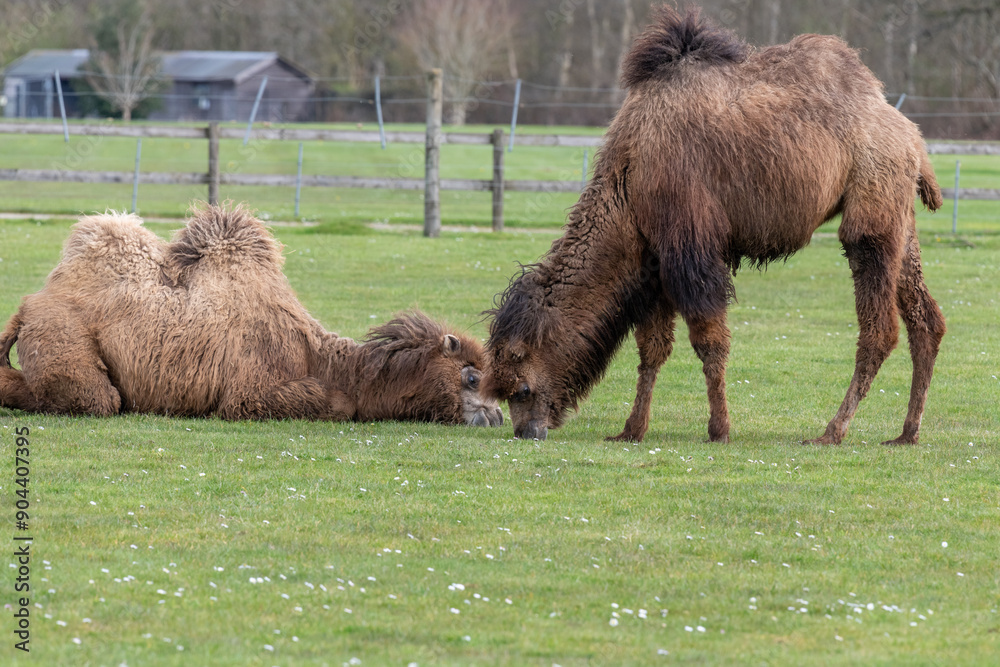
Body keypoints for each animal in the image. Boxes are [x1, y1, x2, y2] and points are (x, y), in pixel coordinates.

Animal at [0, 204, 503, 427]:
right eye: (472, 377)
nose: (498, 417)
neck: (318, 356)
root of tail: (30, 304)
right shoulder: (248, 393)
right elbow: (339, 404)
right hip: (66, 342)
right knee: (95, 397)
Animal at [484, 6, 945, 445]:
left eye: (521, 389)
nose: (527, 431)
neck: (628, 180)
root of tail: (912, 135)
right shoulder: (653, 258)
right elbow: (652, 349)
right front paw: (632, 429)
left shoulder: (689, 246)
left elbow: (709, 341)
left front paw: (719, 428)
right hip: (899, 217)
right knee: (927, 320)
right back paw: (906, 433)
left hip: (871, 212)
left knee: (879, 328)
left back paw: (832, 431)